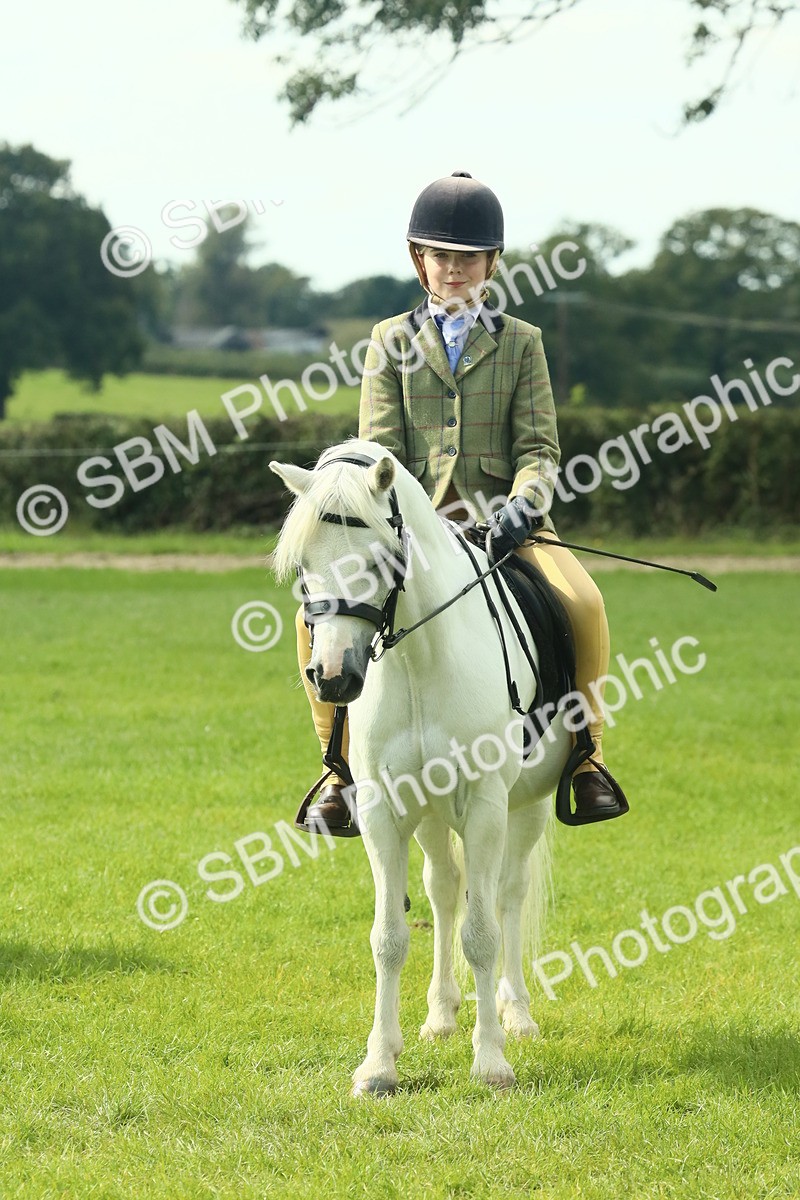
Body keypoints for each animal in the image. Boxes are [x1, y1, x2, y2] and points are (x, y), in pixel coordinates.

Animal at [270, 438, 572, 1094]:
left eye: (381, 558)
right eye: (302, 565)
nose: (333, 678)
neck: (418, 663)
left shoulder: (485, 805)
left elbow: (482, 934)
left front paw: (491, 1062)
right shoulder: (384, 809)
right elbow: (388, 937)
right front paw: (379, 1065)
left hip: (527, 805)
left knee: (507, 895)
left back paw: (516, 1013)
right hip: (431, 813)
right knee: (444, 889)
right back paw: (440, 1015)